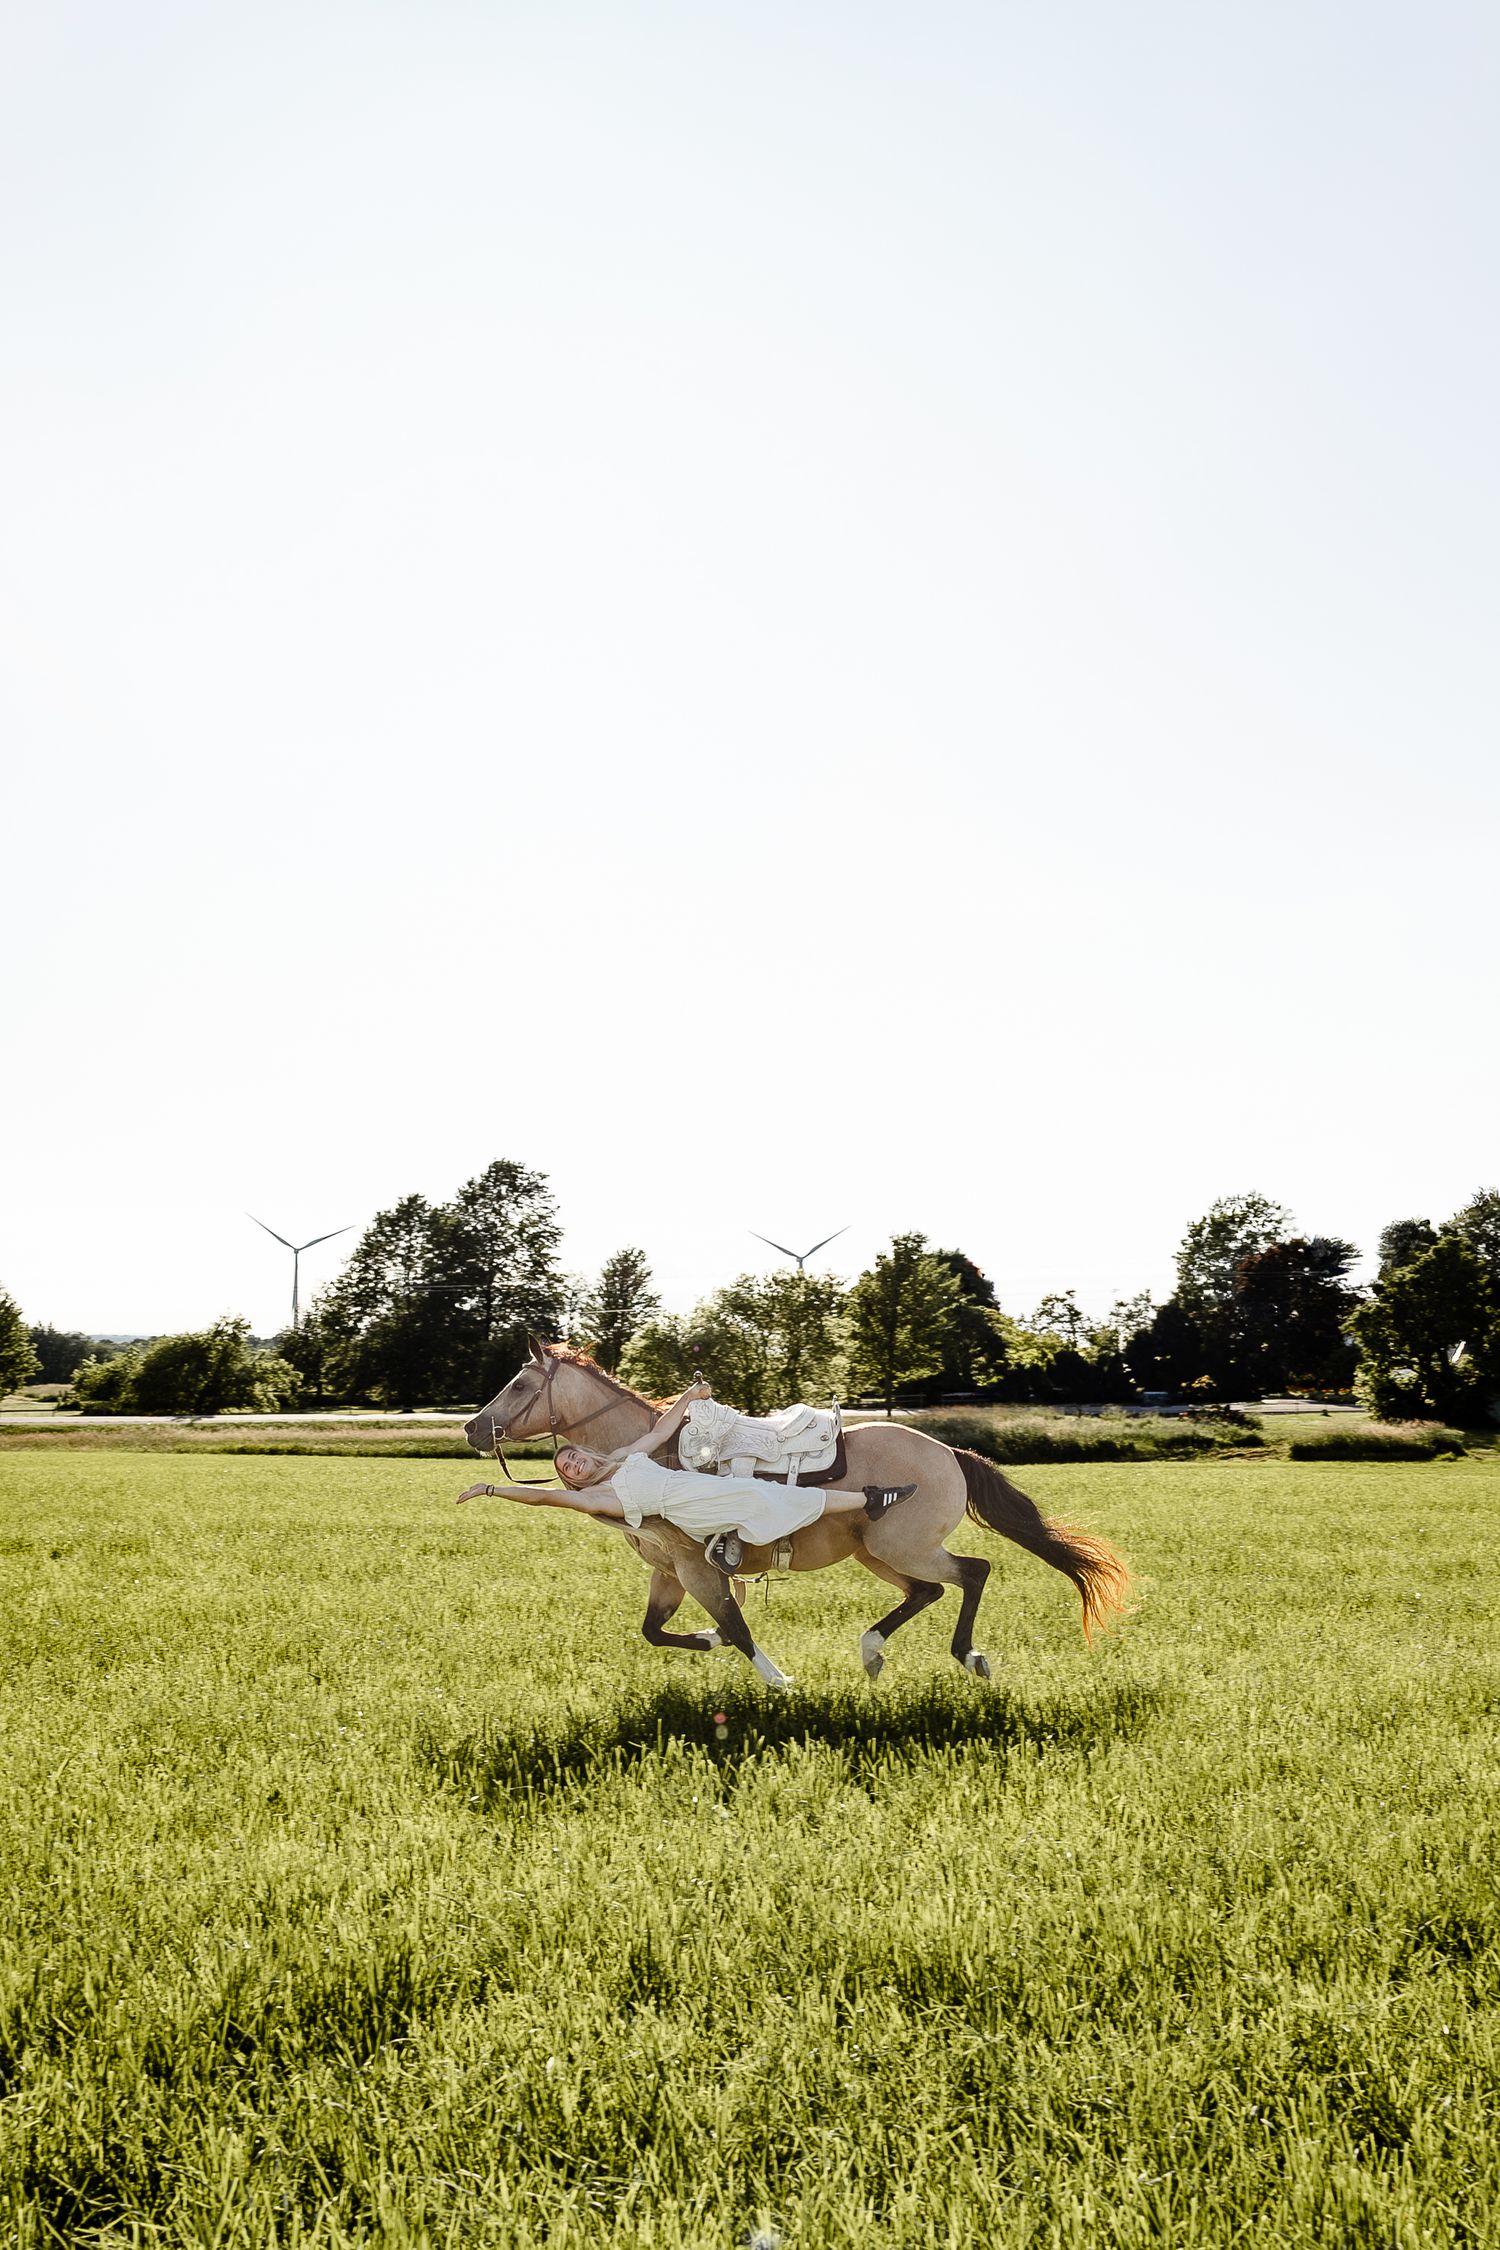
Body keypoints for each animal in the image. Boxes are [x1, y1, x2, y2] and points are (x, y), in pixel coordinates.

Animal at [464, 1340, 1129, 1690]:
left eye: (519, 1384)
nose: (472, 1427)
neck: (645, 1453)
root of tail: (950, 1453)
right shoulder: (668, 1571)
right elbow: (656, 1630)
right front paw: (705, 1639)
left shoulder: (698, 1569)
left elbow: (737, 1627)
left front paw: (776, 1680)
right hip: (877, 1554)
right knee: (929, 1591)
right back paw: (873, 1651)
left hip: (903, 1548)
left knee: (973, 1571)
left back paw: (966, 1654)